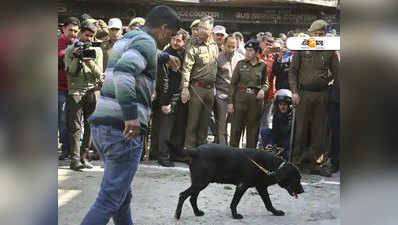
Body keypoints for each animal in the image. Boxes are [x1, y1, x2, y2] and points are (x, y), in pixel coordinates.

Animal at [168, 142, 304, 220]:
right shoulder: (242, 186)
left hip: (200, 183)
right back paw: (177, 215)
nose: (303, 191)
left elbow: (268, 203)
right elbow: (235, 202)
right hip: (200, 183)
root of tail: (196, 150)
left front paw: (275, 212)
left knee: (192, 198)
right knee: (183, 195)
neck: (272, 166)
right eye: (297, 178)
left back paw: (197, 213)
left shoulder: (261, 188)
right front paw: (235, 215)